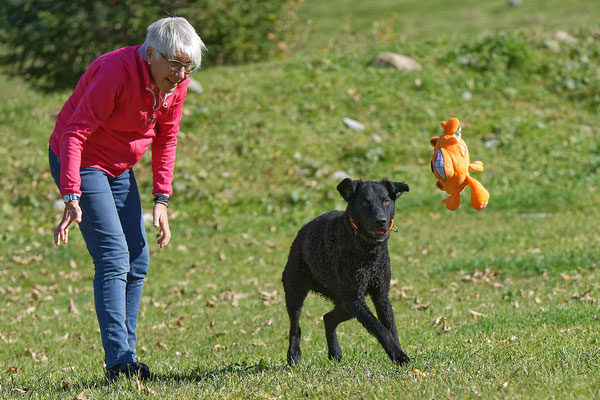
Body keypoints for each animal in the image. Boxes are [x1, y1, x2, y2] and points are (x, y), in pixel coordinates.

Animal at [282, 178, 408, 366]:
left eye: (386, 201)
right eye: (365, 202)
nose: (381, 220)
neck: (368, 253)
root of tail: (300, 233)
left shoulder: (380, 295)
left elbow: (391, 328)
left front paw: (398, 353)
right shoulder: (354, 298)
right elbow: (380, 329)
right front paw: (398, 355)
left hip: (344, 303)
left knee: (328, 317)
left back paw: (335, 352)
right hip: (296, 290)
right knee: (295, 326)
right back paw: (294, 354)